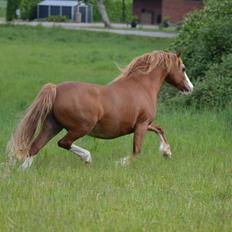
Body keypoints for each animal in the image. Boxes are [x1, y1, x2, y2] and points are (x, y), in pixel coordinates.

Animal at [8, 50, 193, 169]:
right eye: (183, 68)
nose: (190, 87)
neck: (142, 86)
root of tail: (56, 89)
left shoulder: (143, 124)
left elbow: (159, 129)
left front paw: (167, 152)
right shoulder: (141, 124)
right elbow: (137, 150)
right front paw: (120, 164)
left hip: (52, 125)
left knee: (34, 147)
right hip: (81, 127)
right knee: (63, 143)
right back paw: (87, 158)